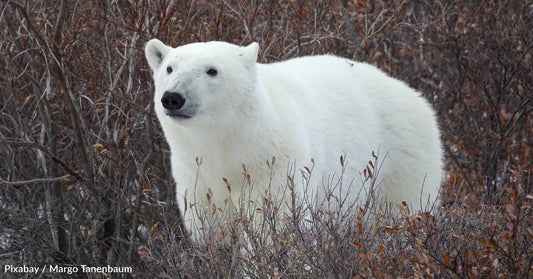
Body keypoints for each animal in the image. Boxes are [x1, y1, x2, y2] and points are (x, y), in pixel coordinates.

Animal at [143, 38, 442, 236]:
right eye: (169, 68)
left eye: (212, 70)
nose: (173, 97)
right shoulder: (195, 172)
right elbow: (208, 225)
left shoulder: (277, 164)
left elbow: (273, 225)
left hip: (401, 160)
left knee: (404, 210)